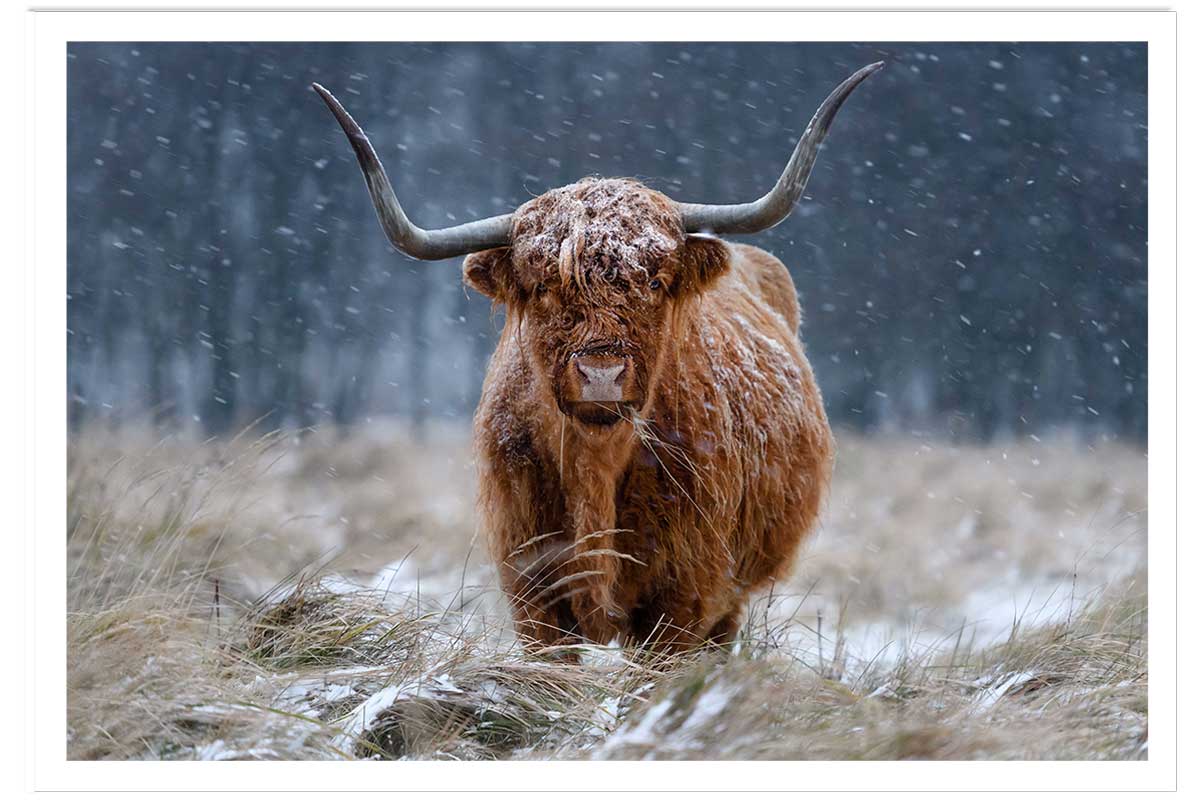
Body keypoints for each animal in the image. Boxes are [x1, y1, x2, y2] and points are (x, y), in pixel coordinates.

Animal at [314, 62, 882, 654]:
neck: (596, 467)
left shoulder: (685, 597)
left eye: (654, 281)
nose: (601, 374)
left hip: (730, 599)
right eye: (543, 287)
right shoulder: (533, 591)